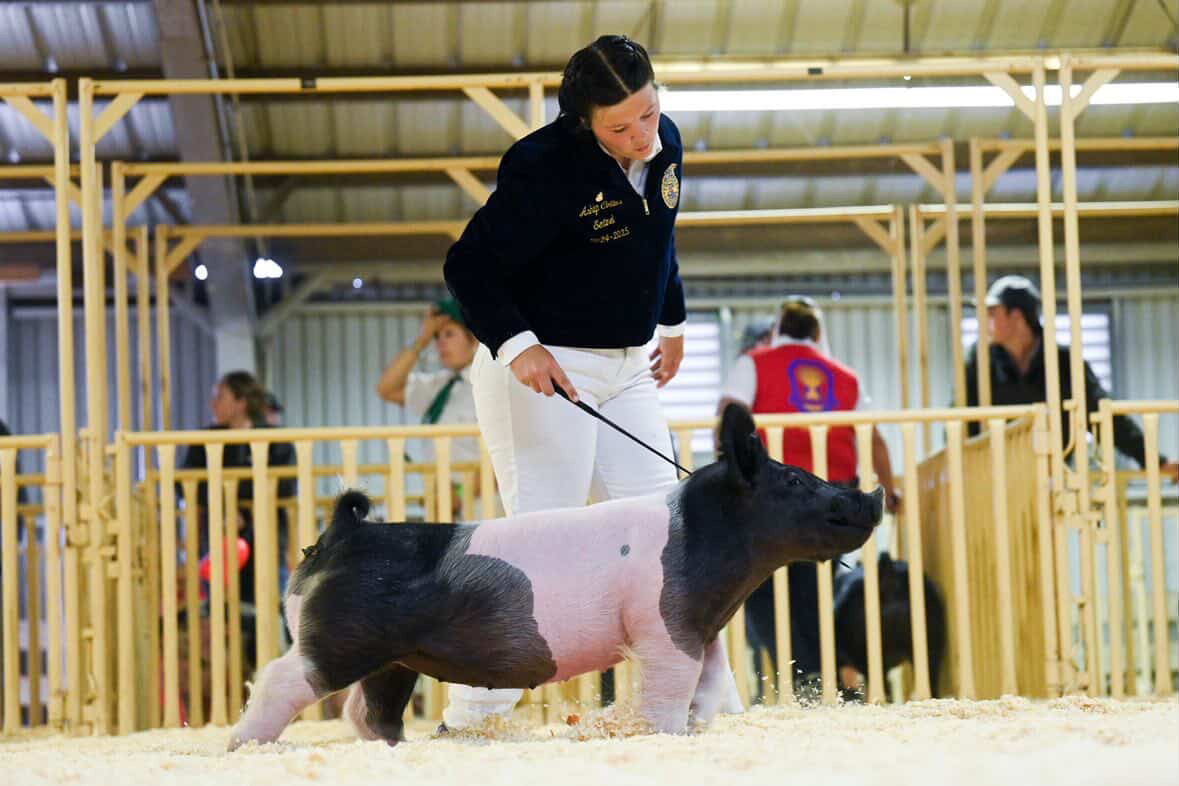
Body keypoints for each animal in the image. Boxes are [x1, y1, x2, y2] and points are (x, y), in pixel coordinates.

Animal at [227, 405, 883, 749]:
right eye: (794, 480)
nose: (872, 495)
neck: (704, 538)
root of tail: (340, 534)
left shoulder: (701, 629)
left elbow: (712, 686)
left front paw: (696, 729)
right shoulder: (663, 631)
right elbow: (671, 693)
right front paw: (664, 735)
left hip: (392, 660)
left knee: (368, 713)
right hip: (338, 642)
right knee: (280, 679)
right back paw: (244, 745)